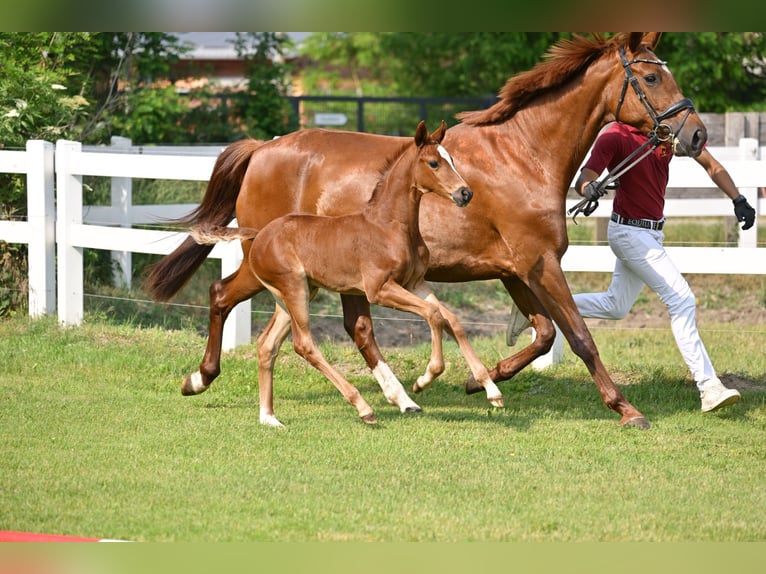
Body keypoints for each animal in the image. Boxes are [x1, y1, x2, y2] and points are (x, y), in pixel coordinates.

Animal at [186, 120, 502, 426]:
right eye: (434, 163)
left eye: (452, 160)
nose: (465, 193)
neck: (390, 225)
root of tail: (260, 233)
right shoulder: (380, 289)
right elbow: (434, 315)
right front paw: (425, 379)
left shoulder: (415, 284)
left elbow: (452, 320)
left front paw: (491, 389)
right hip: (294, 289)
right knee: (303, 343)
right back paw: (364, 408)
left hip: (295, 294)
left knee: (267, 343)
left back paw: (268, 417)